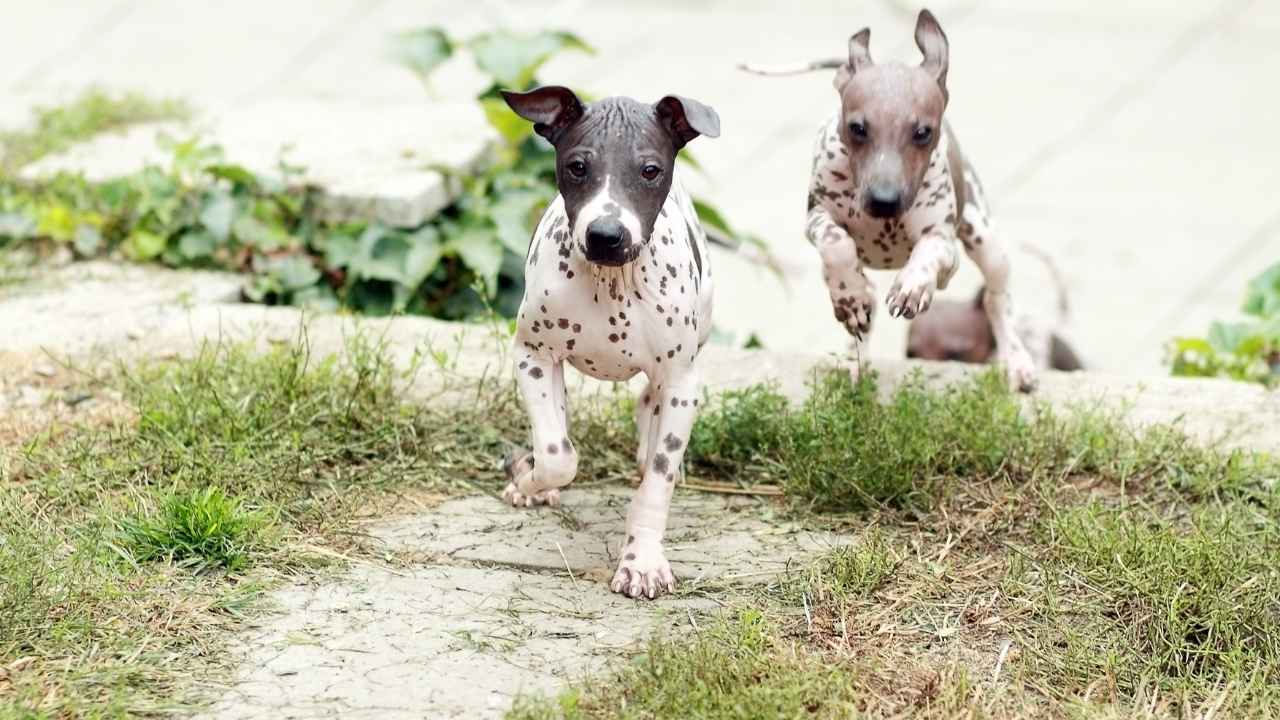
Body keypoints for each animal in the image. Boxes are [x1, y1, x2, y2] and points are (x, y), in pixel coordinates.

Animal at [499, 83, 721, 597]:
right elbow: (557, 454)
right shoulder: (533, 355)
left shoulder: (681, 381)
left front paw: (642, 561)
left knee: (649, 409)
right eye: (578, 166)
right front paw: (529, 480)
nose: (605, 234)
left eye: (649, 170)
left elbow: (656, 484)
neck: (610, 280)